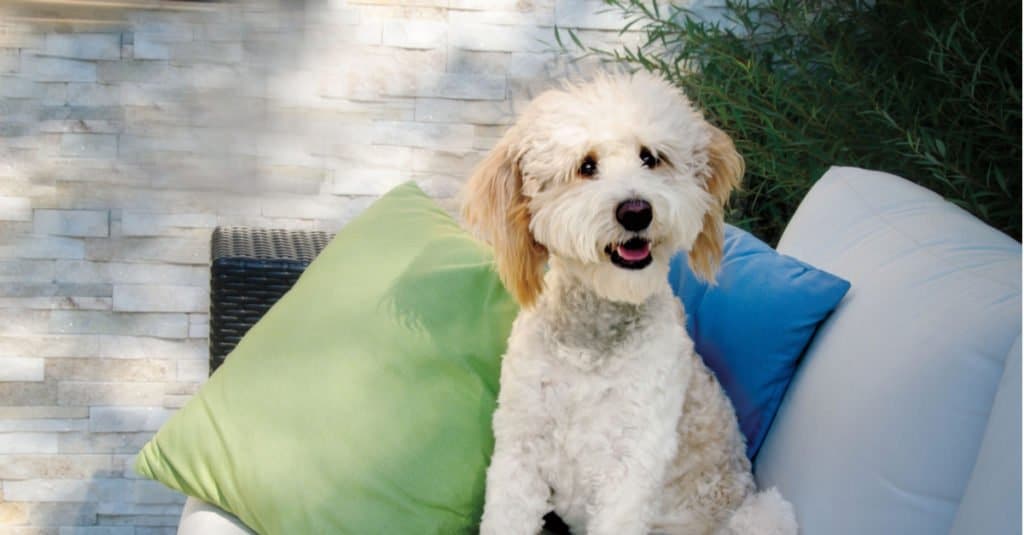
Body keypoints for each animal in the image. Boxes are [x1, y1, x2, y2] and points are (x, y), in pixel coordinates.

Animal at [464, 71, 798, 532]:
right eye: (586, 166)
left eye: (651, 158)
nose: (636, 211)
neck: (592, 341)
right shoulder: (519, 449)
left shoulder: (631, 469)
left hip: (765, 512)